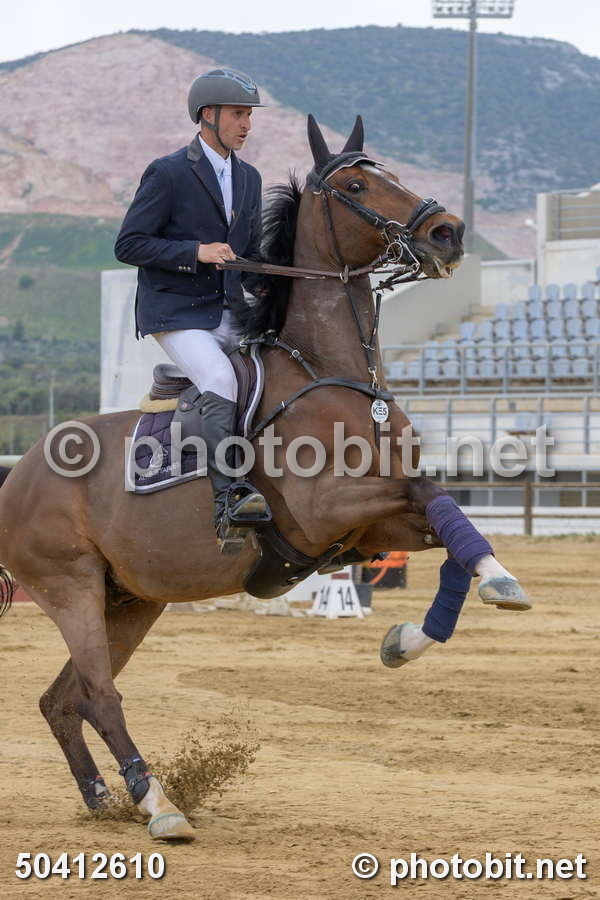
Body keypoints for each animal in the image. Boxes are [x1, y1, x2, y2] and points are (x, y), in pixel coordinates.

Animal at [0, 115, 528, 841]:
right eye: (357, 186)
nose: (447, 232)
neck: (329, 373)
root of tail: (17, 474)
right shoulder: (326, 510)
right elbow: (431, 490)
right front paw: (500, 585)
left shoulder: (370, 532)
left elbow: (451, 527)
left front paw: (409, 638)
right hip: (69, 587)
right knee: (100, 696)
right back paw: (158, 806)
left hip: (130, 600)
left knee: (63, 699)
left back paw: (104, 798)